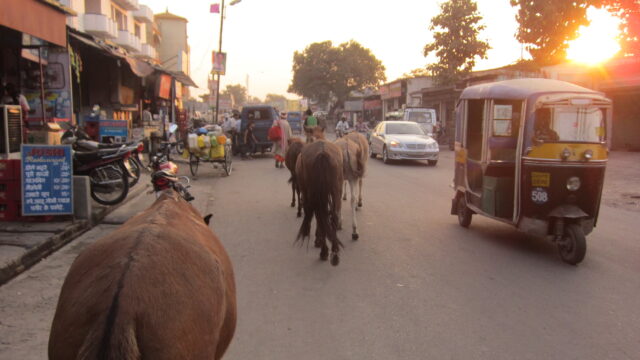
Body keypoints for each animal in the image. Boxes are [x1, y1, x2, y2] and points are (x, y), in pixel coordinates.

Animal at [296, 135, 344, 264]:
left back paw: (324, 251)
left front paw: (318, 239)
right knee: (333, 216)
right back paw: (334, 253)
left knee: (320, 217)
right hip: (336, 189)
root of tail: (323, 152)